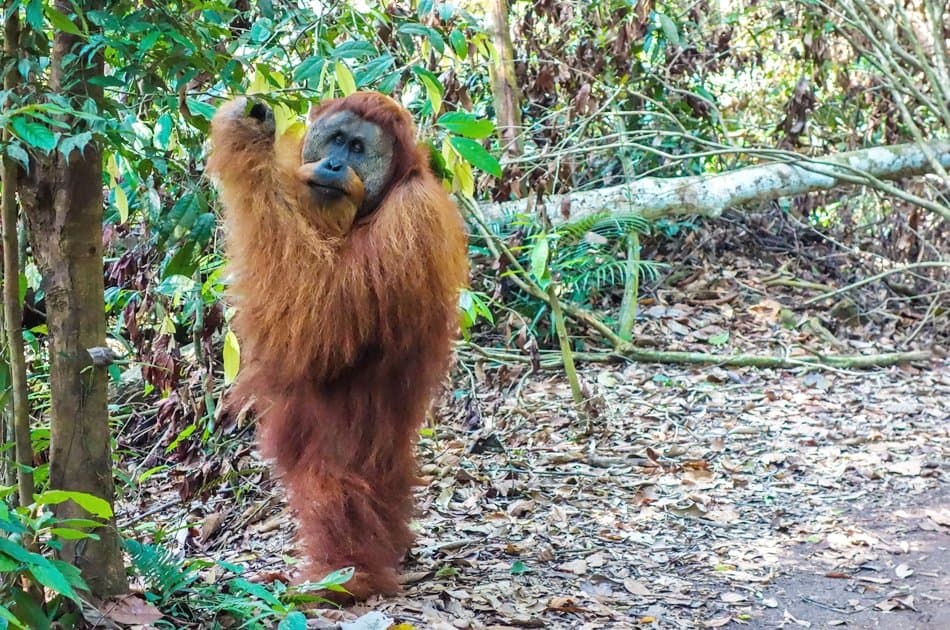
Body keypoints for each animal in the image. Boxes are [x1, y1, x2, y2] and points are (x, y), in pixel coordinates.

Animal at [207, 91, 468, 602]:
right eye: (335, 139)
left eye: (358, 148)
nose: (332, 164)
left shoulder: (411, 220)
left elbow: (318, 323)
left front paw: (246, 138)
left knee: (339, 477)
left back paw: (344, 579)